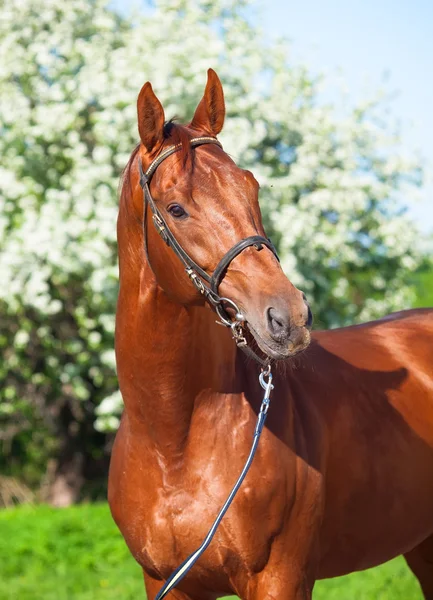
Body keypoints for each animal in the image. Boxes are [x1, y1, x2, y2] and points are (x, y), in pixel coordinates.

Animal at [109, 68, 432, 596]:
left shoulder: (280, 579)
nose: (288, 316)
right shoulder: (163, 582)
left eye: (251, 186)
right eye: (176, 209)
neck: (173, 444)